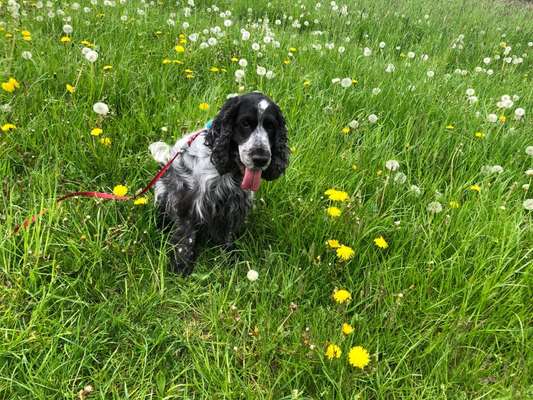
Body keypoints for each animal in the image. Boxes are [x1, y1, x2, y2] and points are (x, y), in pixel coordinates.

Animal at [148, 93, 288, 276]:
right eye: (245, 123)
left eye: (270, 126)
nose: (261, 159)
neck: (230, 171)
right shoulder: (189, 202)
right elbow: (186, 238)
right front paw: (181, 268)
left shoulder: (233, 205)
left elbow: (227, 235)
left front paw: (230, 259)